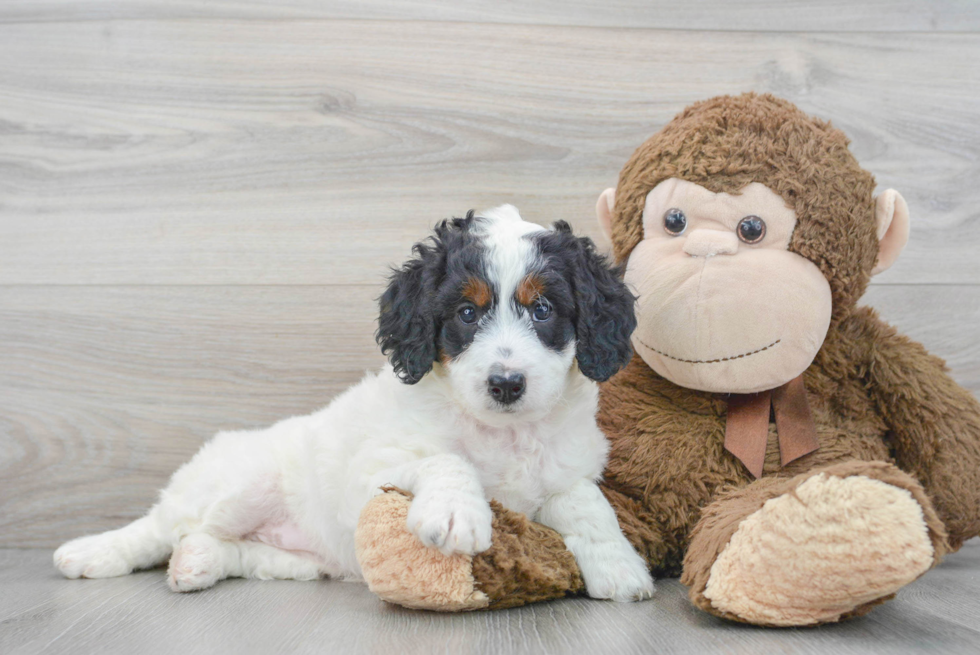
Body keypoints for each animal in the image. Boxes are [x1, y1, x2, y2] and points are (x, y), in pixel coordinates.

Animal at [51, 206, 652, 604]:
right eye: (466, 313)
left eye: (544, 308)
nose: (506, 384)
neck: (502, 432)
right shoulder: (371, 469)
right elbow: (444, 458)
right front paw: (456, 511)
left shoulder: (565, 471)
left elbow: (587, 503)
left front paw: (618, 565)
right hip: (239, 481)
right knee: (163, 526)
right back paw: (95, 553)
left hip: (303, 560)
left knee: (217, 544)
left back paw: (198, 562)